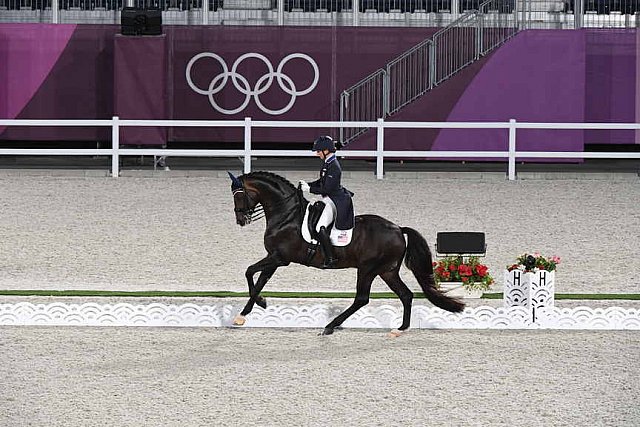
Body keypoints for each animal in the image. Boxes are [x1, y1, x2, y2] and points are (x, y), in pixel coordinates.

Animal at [230, 170, 464, 334]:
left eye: (239, 196)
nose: (241, 220)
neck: (286, 215)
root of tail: (398, 228)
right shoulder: (275, 258)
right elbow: (258, 280)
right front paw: (246, 312)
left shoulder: (280, 258)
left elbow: (249, 271)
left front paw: (258, 305)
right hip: (387, 271)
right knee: (405, 295)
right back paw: (400, 328)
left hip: (368, 269)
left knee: (362, 298)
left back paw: (330, 326)